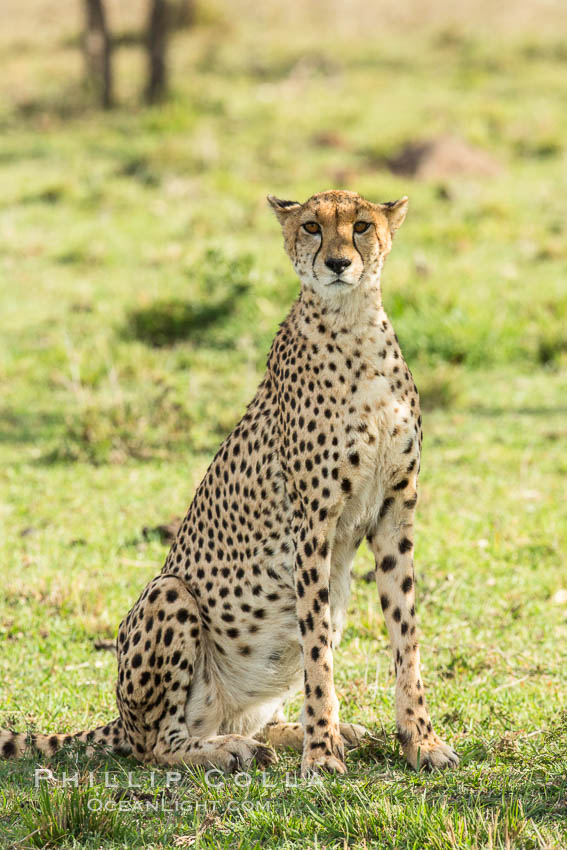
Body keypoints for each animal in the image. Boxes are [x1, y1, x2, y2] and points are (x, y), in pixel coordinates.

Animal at [1, 189, 462, 772]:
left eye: (361, 226)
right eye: (311, 227)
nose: (337, 263)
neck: (353, 325)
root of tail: (119, 721)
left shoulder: (395, 512)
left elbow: (405, 634)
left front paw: (419, 739)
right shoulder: (312, 523)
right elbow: (318, 654)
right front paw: (322, 755)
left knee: (257, 712)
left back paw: (310, 733)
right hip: (169, 595)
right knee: (157, 746)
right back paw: (232, 749)